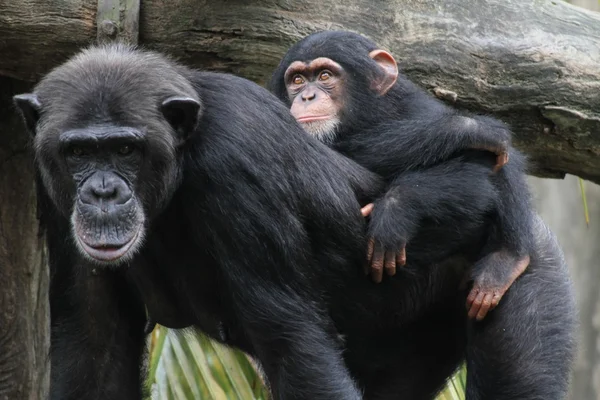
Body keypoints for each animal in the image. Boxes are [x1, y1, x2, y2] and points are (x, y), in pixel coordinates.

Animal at [270, 29, 532, 320]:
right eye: (297, 80)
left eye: (325, 75)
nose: (306, 96)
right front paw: (470, 128)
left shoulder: (418, 108)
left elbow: (473, 171)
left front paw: (393, 211)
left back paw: (507, 258)